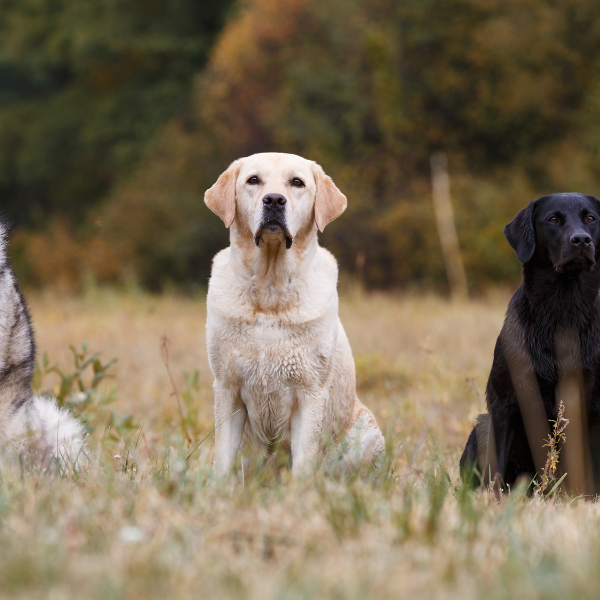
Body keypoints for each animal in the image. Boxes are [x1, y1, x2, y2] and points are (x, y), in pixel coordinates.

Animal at [205, 152, 384, 476]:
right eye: (253, 180)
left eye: (297, 183)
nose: (274, 200)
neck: (270, 291)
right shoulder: (227, 388)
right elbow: (222, 459)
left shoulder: (310, 392)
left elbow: (303, 462)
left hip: (366, 433)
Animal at [462, 192, 600, 492]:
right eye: (553, 219)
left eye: (590, 218)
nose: (582, 240)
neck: (562, 312)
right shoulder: (505, 404)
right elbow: (496, 469)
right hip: (480, 426)